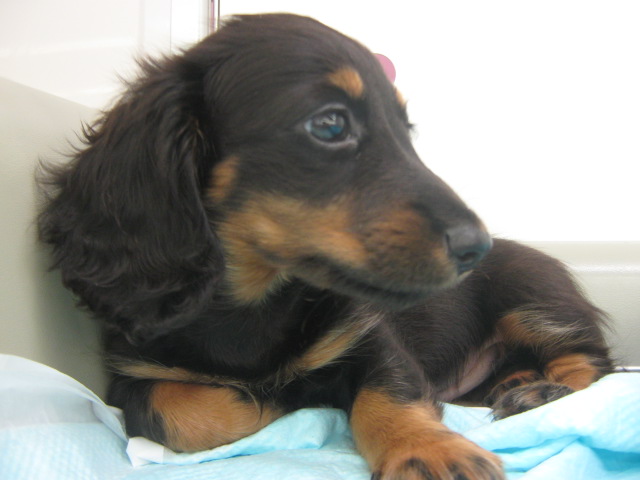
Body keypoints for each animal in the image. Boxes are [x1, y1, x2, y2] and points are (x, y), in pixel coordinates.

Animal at [38, 14, 613, 480]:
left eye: (405, 132)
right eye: (330, 123)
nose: (479, 247)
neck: (251, 306)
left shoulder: (370, 337)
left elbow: (388, 393)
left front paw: (427, 451)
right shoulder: (132, 375)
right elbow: (185, 414)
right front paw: (278, 403)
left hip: (533, 301)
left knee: (594, 365)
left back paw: (541, 391)